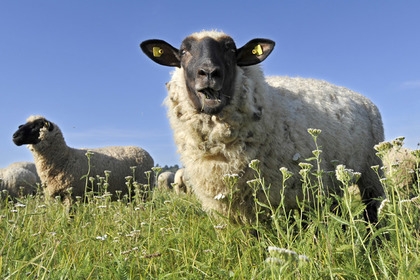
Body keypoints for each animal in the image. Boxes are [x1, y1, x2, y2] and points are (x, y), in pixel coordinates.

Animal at [12, 115, 154, 205]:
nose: (14, 136)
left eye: (35, 126)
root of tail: (146, 153)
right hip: (131, 193)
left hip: (143, 189)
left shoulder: (73, 196)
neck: (64, 158)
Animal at [139, 29, 386, 224]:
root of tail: (363, 98)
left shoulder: (299, 197)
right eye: (183, 52)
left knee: (372, 208)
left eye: (231, 50)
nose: (208, 72)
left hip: (371, 172)